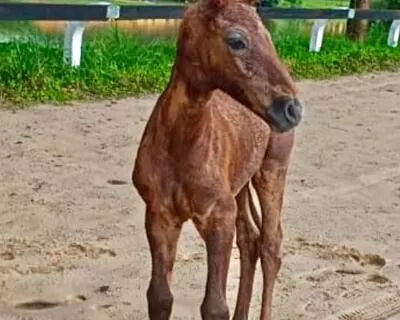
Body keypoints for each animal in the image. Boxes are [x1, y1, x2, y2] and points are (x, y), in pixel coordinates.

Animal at [131, 0, 304, 318]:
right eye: (237, 41)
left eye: (269, 38)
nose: (292, 109)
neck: (181, 147)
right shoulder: (160, 215)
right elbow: (159, 296)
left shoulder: (218, 218)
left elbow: (214, 306)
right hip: (240, 185)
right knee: (250, 239)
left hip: (272, 170)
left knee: (271, 244)